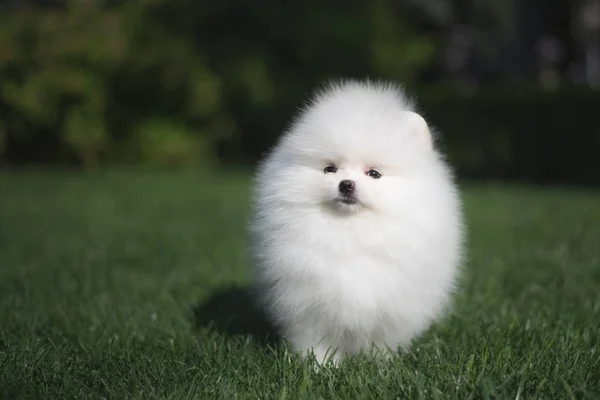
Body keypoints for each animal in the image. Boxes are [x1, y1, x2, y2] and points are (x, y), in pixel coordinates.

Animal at [248, 80, 464, 366]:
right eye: (330, 169)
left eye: (374, 173)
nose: (346, 184)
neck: (351, 231)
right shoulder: (308, 305)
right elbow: (316, 341)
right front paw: (320, 366)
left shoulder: (392, 307)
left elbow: (382, 341)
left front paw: (381, 362)